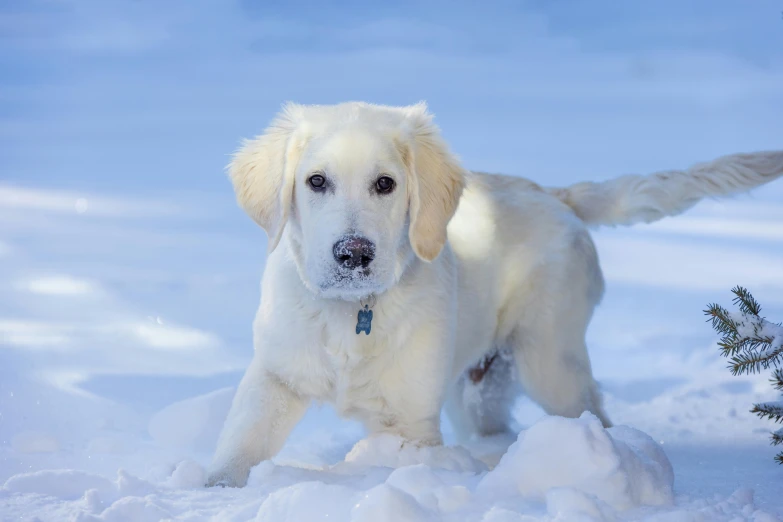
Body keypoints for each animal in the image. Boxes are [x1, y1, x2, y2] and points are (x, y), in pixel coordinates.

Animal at [207, 102, 783, 488]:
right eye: (316, 181)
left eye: (385, 184)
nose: (353, 254)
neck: (353, 314)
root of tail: (554, 194)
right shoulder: (276, 376)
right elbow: (241, 442)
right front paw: (214, 488)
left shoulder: (410, 421)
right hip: (477, 388)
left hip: (550, 360)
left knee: (594, 414)